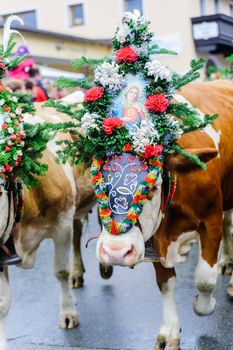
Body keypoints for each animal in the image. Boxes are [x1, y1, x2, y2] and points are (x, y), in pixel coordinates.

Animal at [96, 80, 233, 348]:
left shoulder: (211, 219)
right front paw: (169, 330)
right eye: (98, 184)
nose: (115, 252)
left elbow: (205, 277)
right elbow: (165, 282)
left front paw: (204, 305)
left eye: (152, 187)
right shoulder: (155, 237)